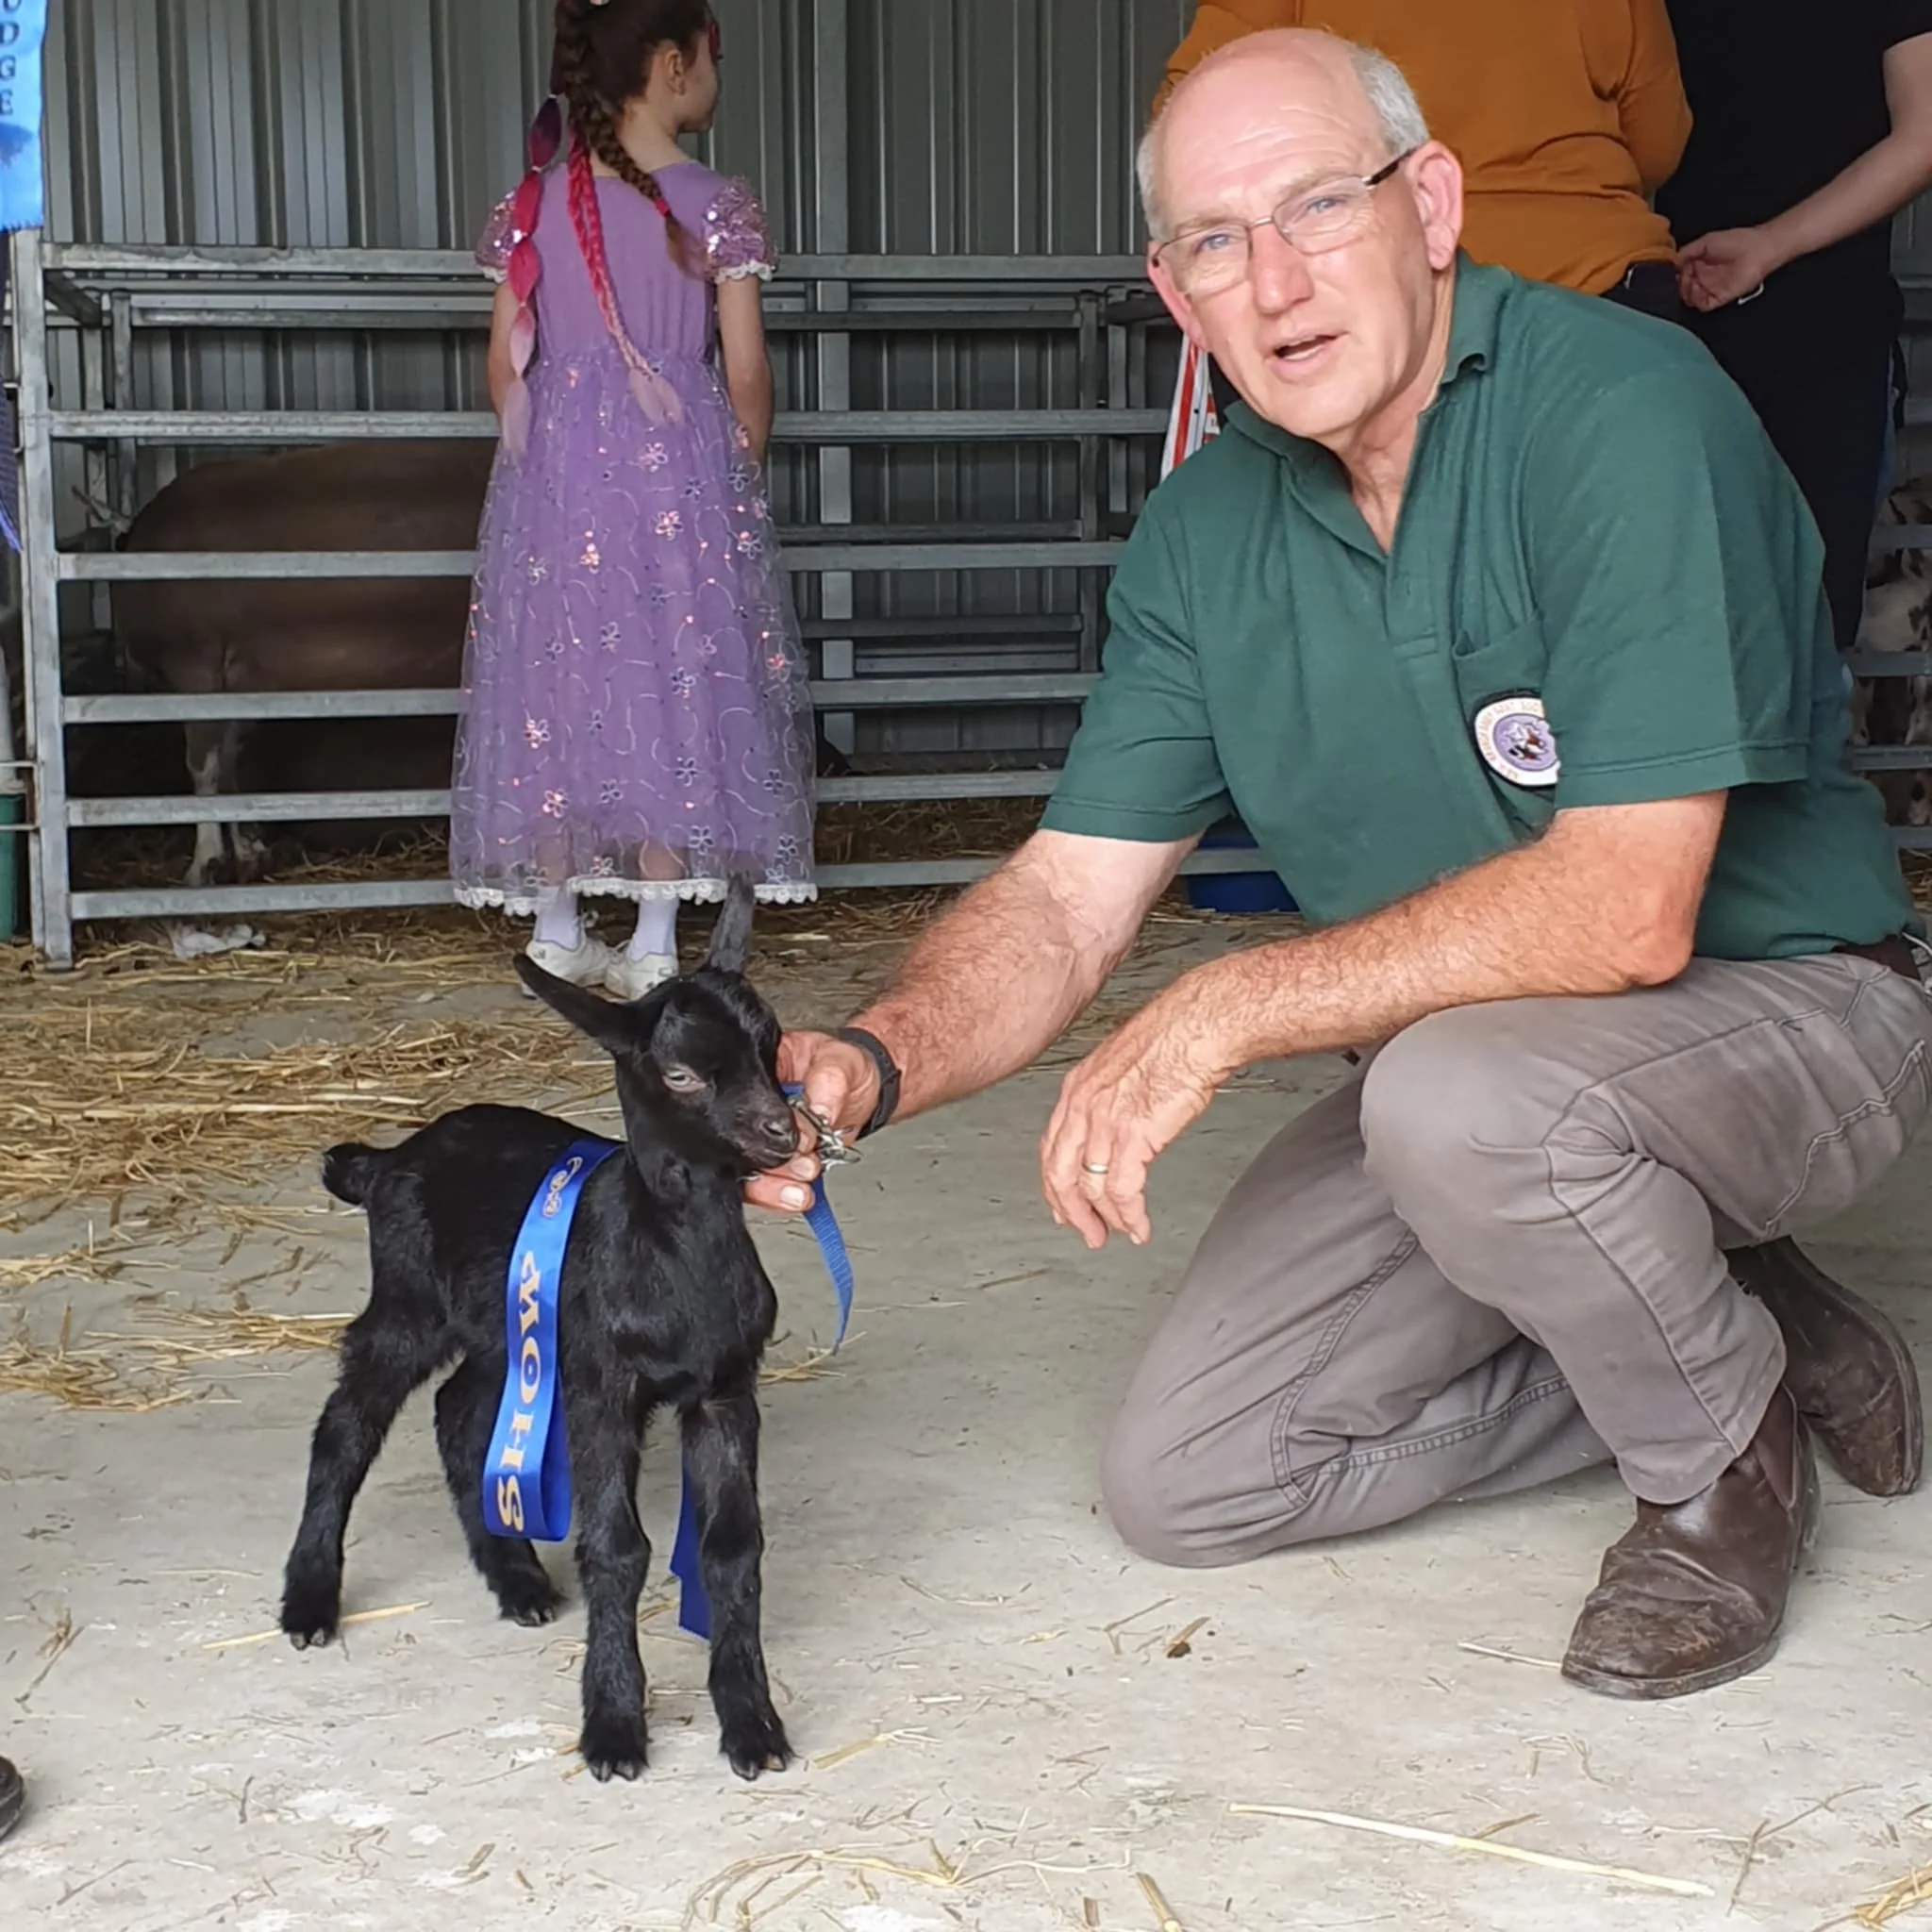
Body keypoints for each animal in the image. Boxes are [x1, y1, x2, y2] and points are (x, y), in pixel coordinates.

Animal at [278, 876, 802, 1783]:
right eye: (681, 1073)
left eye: (773, 1047)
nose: (783, 1131)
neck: (671, 1250)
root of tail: (387, 1159)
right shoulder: (599, 1388)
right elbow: (617, 1549)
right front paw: (615, 1726)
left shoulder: (725, 1389)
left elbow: (733, 1546)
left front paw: (750, 1721)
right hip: (413, 1303)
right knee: (348, 1423)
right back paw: (310, 1596)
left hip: (506, 1332)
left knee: (458, 1412)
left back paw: (515, 1579)